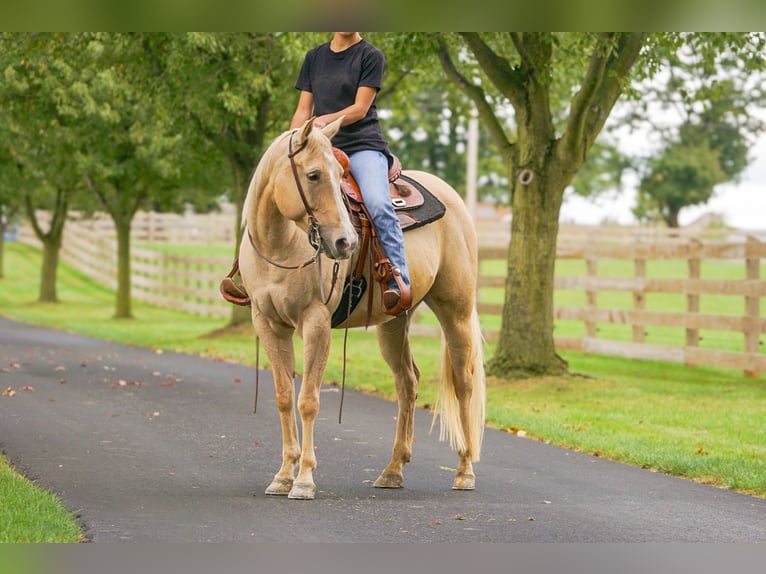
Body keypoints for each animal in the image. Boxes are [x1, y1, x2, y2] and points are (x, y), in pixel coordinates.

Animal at [237, 116, 486, 500]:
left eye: (338, 174)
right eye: (313, 175)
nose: (345, 242)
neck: (281, 246)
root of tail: (452, 196)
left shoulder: (316, 322)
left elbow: (308, 399)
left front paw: (304, 479)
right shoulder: (268, 323)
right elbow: (283, 396)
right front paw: (282, 476)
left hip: (455, 310)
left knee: (463, 384)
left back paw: (464, 471)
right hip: (394, 323)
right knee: (407, 383)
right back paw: (393, 470)